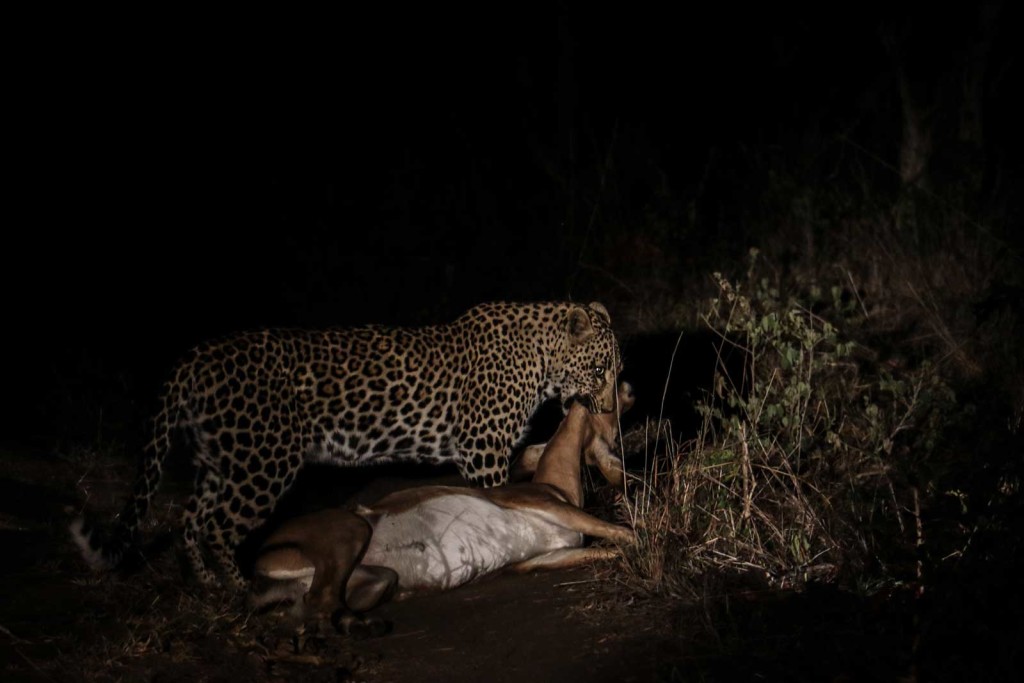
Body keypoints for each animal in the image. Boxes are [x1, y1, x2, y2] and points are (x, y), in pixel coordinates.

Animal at [72, 301, 618, 589]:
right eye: (599, 369)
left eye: (614, 369)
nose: (611, 408)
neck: (542, 359)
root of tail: (193, 359)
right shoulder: (483, 450)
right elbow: (499, 496)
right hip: (263, 464)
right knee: (219, 527)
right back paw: (240, 591)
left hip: (221, 459)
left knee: (191, 521)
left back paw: (208, 588)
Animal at [246, 378, 630, 630]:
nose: (630, 391)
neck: (557, 485)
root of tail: (260, 557)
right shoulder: (546, 504)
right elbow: (622, 533)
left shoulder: (545, 557)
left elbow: (608, 549)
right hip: (350, 529)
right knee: (321, 602)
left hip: (376, 578)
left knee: (311, 607)